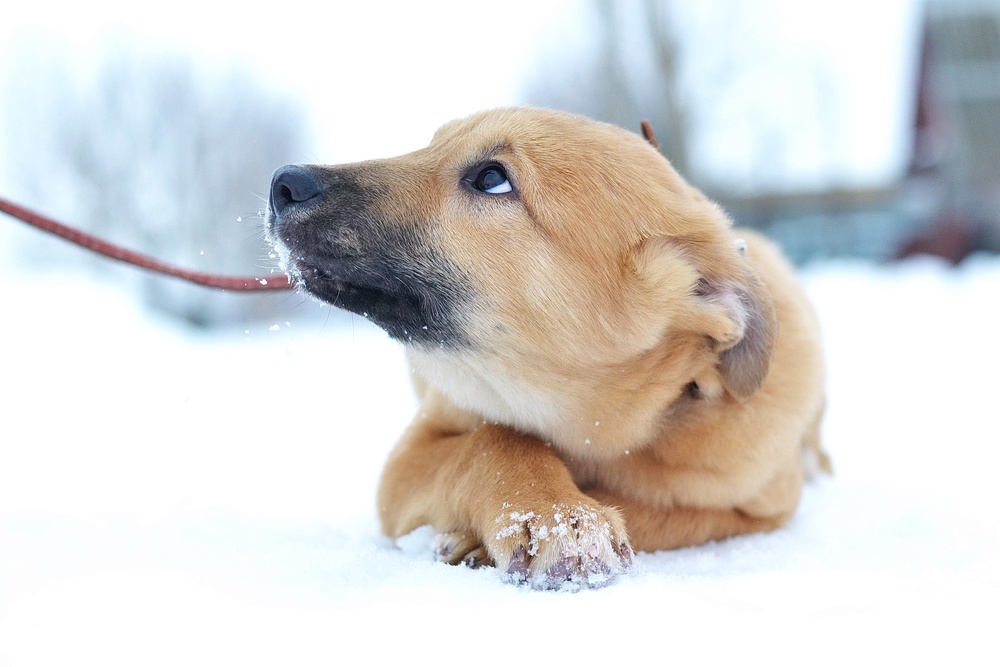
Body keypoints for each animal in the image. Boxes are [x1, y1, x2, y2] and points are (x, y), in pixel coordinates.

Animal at [266, 108, 828, 588]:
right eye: (431, 144)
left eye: (491, 178)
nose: (282, 184)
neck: (591, 428)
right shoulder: (409, 458)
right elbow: (495, 439)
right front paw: (555, 516)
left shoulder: (760, 506)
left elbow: (670, 512)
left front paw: (553, 521)